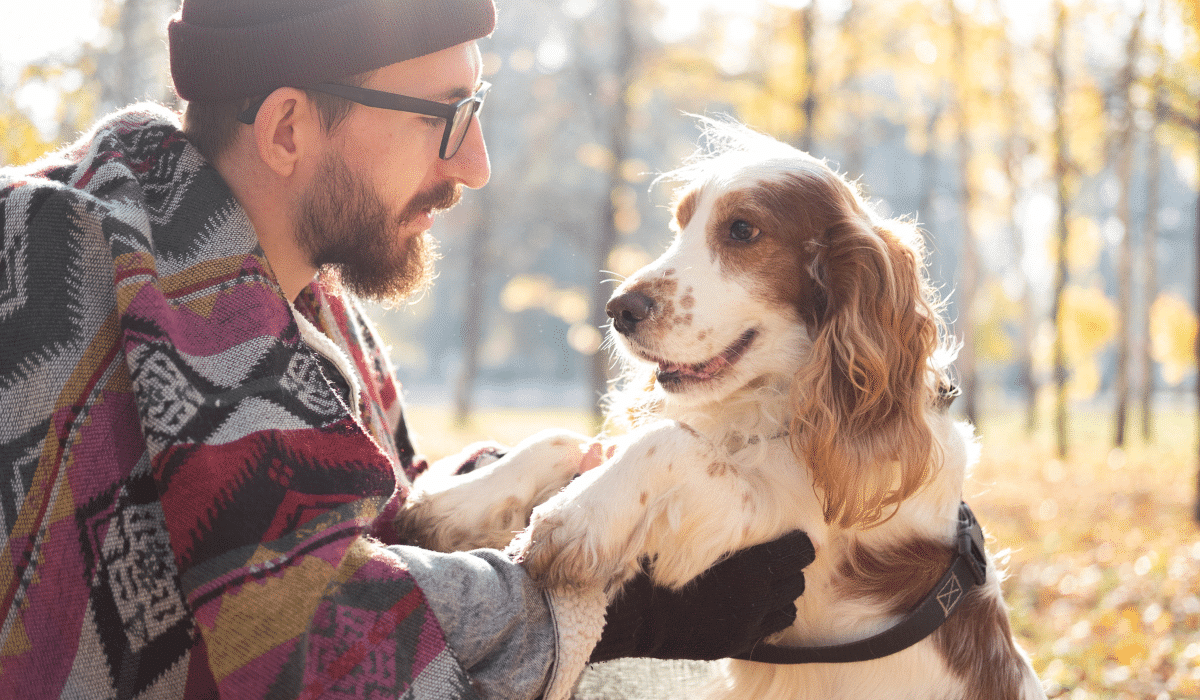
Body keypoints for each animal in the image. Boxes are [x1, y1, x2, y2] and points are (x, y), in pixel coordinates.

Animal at [398, 118, 1046, 700]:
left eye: (741, 229)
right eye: (680, 224)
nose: (618, 309)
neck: (777, 412)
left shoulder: (784, 530)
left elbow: (666, 443)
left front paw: (575, 517)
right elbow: (568, 441)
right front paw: (450, 502)